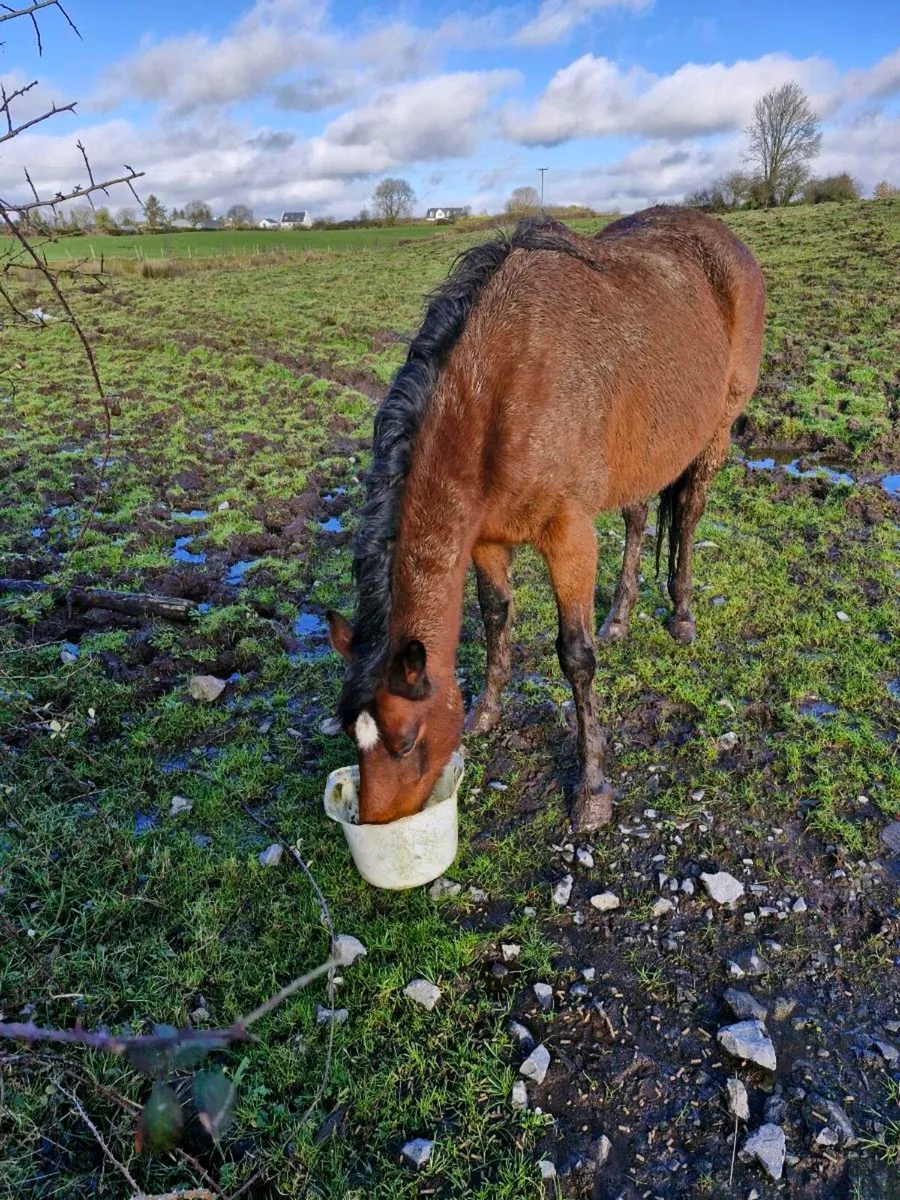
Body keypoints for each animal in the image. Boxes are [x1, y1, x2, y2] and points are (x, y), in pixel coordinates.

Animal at [327, 207, 765, 829]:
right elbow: (494, 618)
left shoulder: (569, 537)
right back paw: (621, 617)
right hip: (638, 454)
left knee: (687, 519)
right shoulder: (485, 539)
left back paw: (681, 615)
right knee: (638, 520)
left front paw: (592, 789)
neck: (500, 386)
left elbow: (576, 657)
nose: (376, 823)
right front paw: (486, 714)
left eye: (406, 742)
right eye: (352, 736)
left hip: (715, 434)